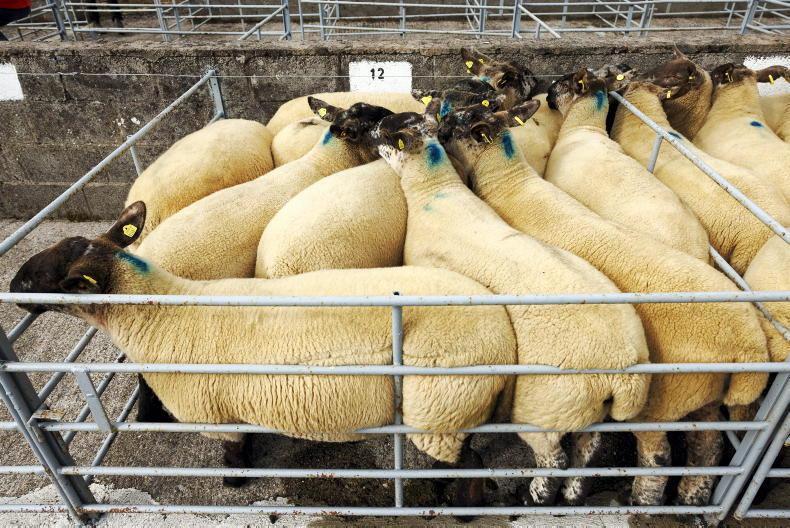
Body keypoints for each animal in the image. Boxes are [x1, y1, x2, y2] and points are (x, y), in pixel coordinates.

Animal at [10, 201, 517, 507]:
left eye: (54, 279)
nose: (14, 286)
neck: (164, 313)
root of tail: (504, 335)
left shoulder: (214, 413)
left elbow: (235, 454)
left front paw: (234, 483)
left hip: (441, 403)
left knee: (465, 464)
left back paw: (449, 503)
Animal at [374, 108, 652, 507]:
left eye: (390, 134)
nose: (373, 131)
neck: (435, 193)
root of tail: (624, 371)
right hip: (586, 410)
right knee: (587, 447)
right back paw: (573, 493)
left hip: (545, 405)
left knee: (554, 455)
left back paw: (536, 494)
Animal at [435, 99, 769, 509]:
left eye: (459, 122)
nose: (437, 128)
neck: (508, 185)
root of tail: (749, 344)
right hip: (698, 393)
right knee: (707, 442)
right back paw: (689, 494)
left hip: (659, 398)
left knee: (655, 452)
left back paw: (630, 498)